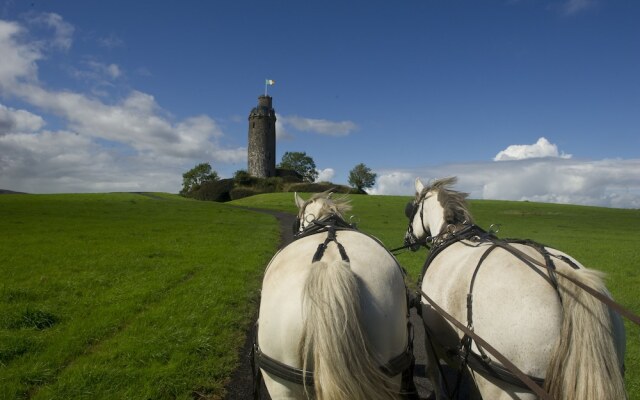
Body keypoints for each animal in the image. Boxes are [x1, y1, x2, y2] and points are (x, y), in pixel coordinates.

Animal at [404, 177, 624, 400]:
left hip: (507, 386)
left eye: (411, 209)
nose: (408, 239)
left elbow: (434, 373)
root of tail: (562, 273)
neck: (451, 233)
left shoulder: (430, 335)